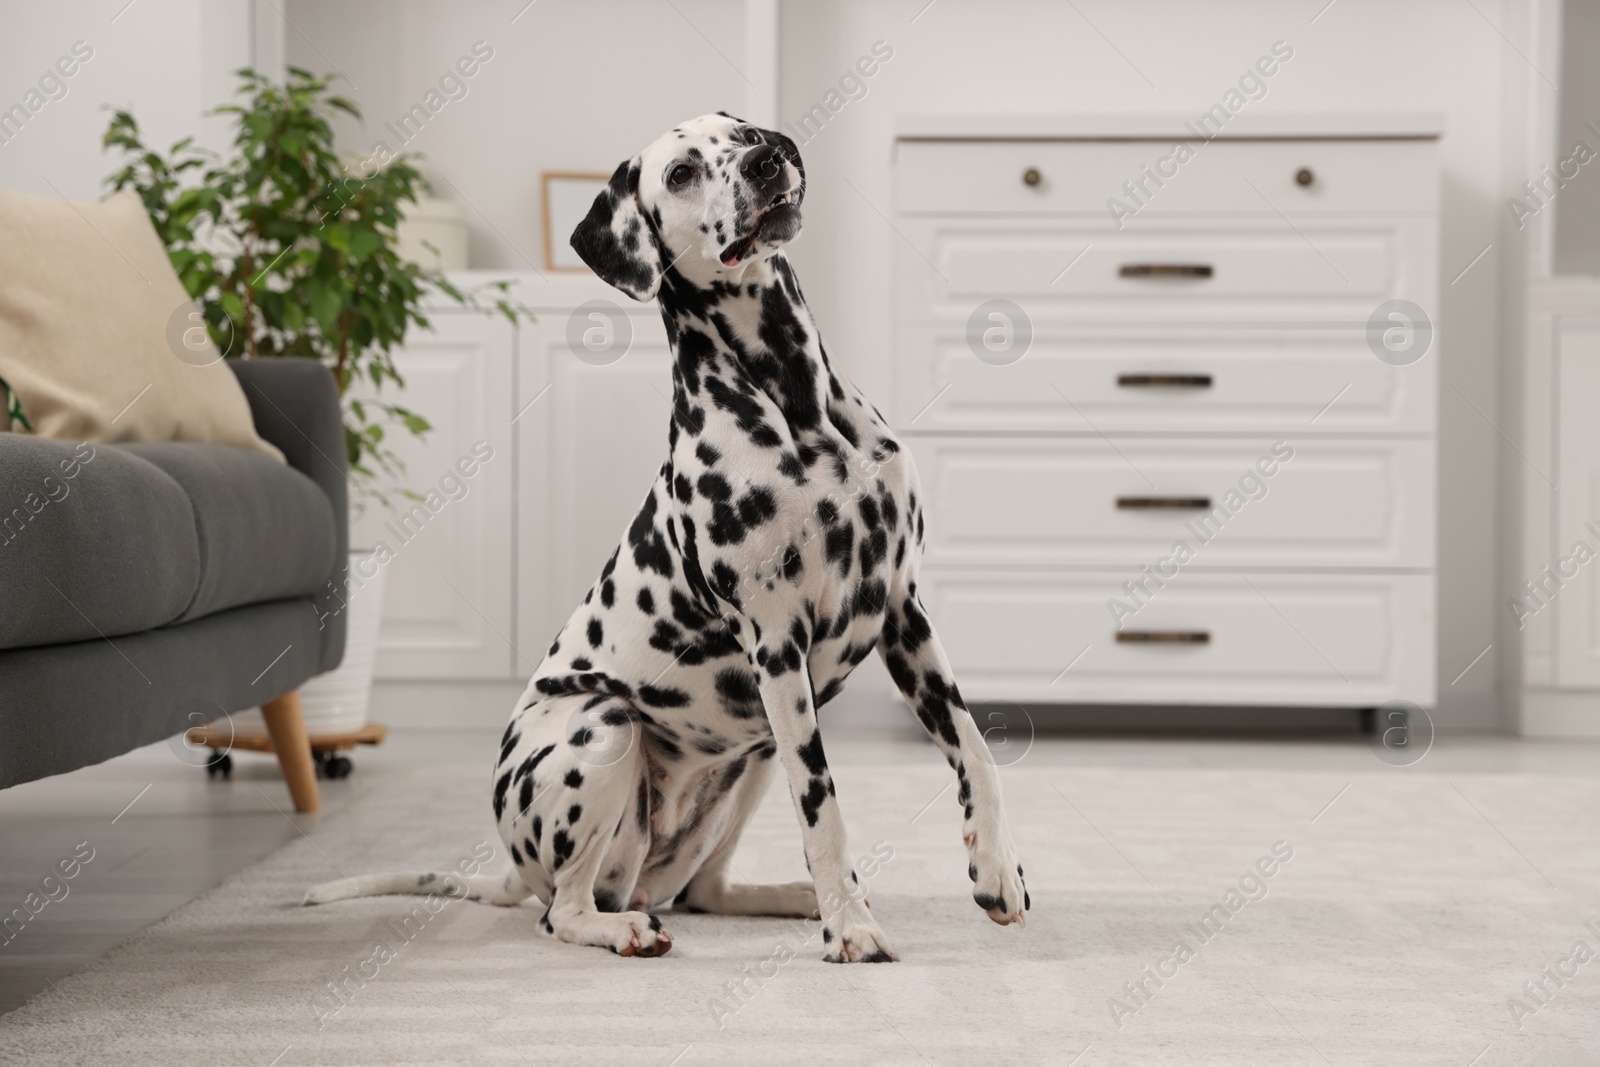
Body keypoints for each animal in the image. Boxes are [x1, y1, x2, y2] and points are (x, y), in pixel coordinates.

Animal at [302, 112, 1024, 966]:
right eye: (680, 173)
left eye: (743, 133)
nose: (767, 159)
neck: (797, 403)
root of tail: (511, 865)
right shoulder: (777, 643)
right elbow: (824, 807)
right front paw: (849, 926)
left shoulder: (902, 612)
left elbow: (975, 747)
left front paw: (995, 870)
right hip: (607, 726)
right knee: (567, 909)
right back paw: (628, 927)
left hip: (754, 753)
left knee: (704, 890)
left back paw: (787, 896)